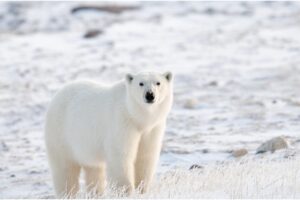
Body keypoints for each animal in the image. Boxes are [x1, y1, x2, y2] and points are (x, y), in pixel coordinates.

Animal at [43, 71, 172, 197]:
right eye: (141, 83)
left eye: (158, 83)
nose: (150, 95)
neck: (136, 117)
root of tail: (58, 94)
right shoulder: (121, 123)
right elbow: (120, 156)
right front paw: (125, 191)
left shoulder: (152, 129)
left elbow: (145, 156)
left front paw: (142, 189)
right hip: (61, 134)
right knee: (65, 169)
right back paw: (67, 194)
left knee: (94, 169)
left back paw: (96, 193)